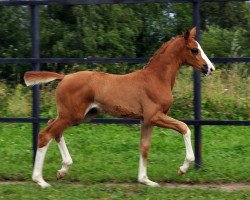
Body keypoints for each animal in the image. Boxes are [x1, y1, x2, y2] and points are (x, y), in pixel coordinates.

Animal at [23, 27, 215, 188]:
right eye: (194, 50)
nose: (210, 68)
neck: (156, 79)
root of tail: (64, 77)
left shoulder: (146, 121)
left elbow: (144, 147)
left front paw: (145, 180)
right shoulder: (154, 116)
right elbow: (184, 127)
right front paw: (183, 168)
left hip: (79, 116)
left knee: (54, 130)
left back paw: (62, 170)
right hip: (71, 115)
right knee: (45, 134)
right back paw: (40, 180)